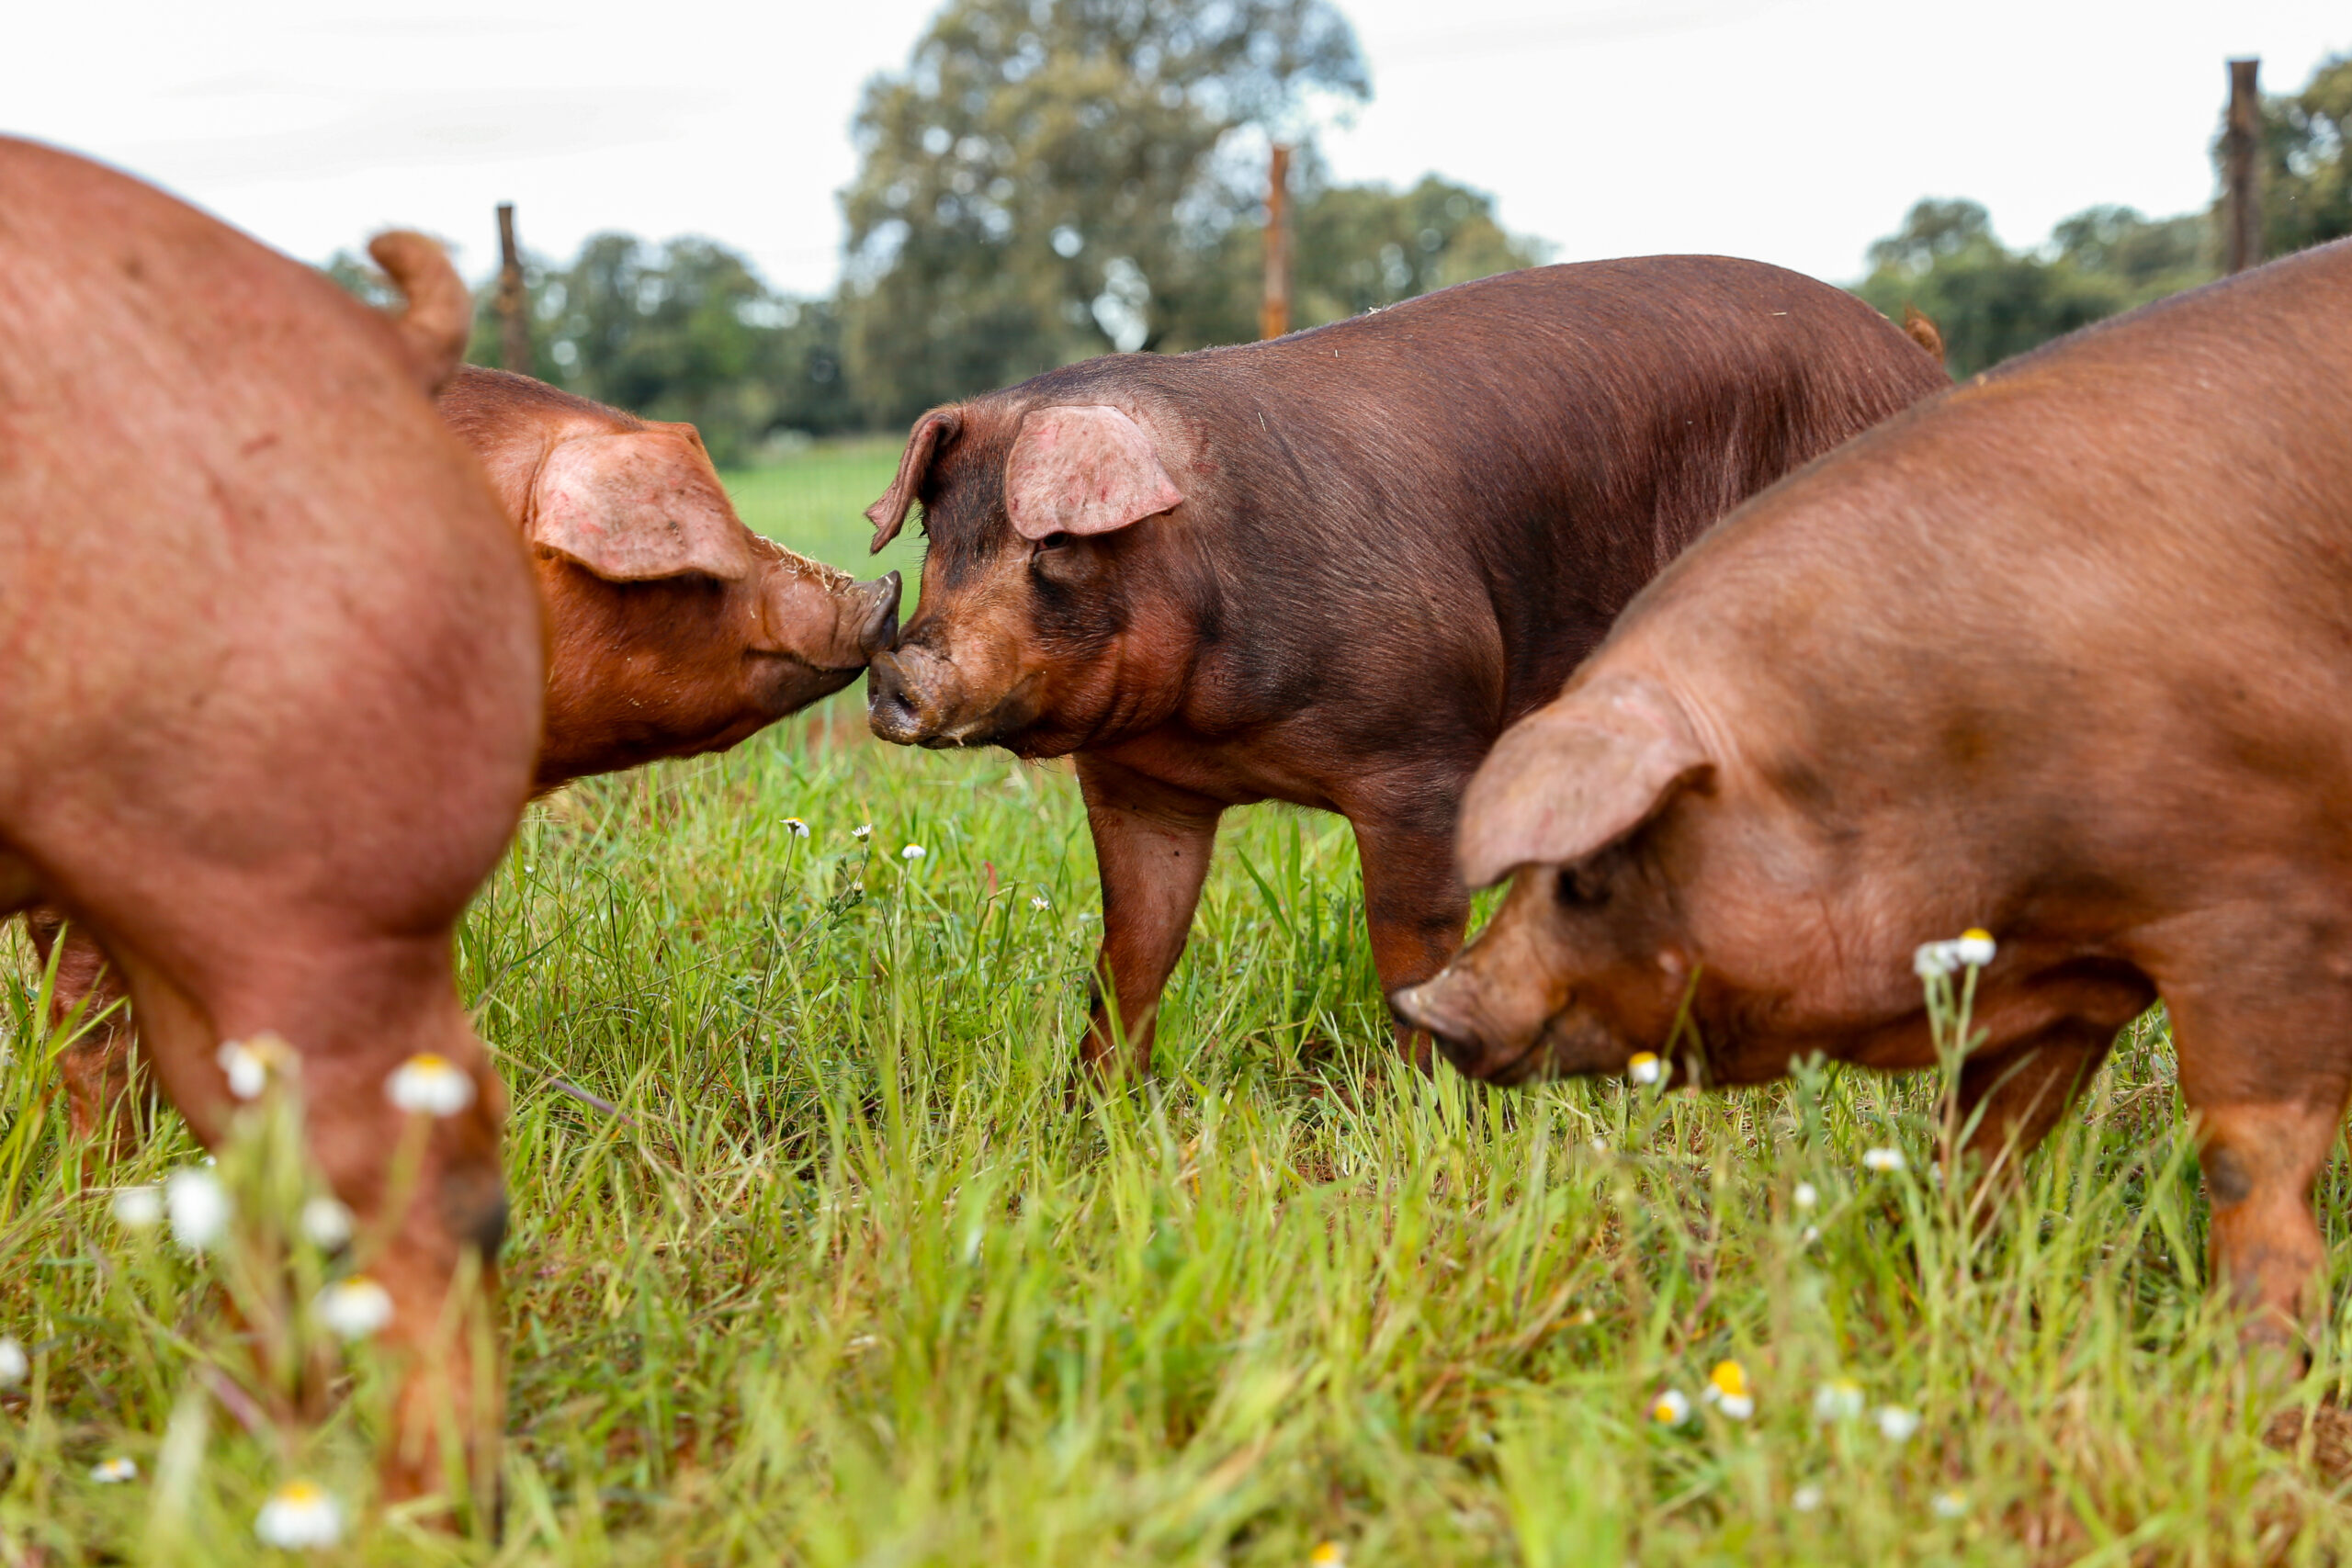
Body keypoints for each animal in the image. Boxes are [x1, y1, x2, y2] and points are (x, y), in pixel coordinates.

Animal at [0, 138, 542, 1496]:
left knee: (419, 1164)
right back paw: (230, 1448)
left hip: (309, 895)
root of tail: (372, 336)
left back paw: (405, 1503)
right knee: (257, 1164)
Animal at [860, 258, 1949, 1075]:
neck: (1214, 726)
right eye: (933, 535)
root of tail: (1920, 363)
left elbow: (1410, 944)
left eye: (1052, 545)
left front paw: (1421, 1108)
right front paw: (1097, 1105)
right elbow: (1134, 944)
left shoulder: (1424, 759)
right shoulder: (1138, 786)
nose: (899, 672)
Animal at [1391, 237, 2352, 1347]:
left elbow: (2245, 1153)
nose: (1433, 1005)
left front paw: (2258, 1360)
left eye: (1588, 873)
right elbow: (1980, 1132)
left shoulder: (2261, 907)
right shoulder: (2059, 963)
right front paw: (1946, 1290)